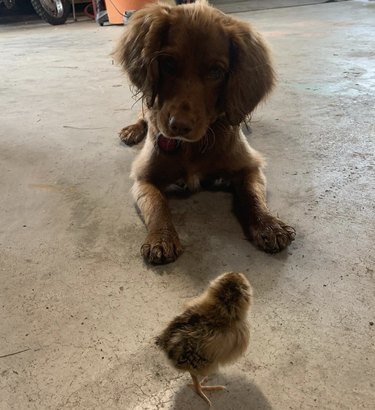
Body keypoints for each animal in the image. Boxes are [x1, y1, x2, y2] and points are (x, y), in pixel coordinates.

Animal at [114, 0, 296, 264]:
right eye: (168, 63)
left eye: (216, 72)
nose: (179, 125)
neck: (192, 146)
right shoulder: (143, 177)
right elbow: (157, 205)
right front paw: (161, 238)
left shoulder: (250, 166)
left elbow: (252, 196)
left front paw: (269, 225)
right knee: (143, 111)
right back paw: (131, 130)